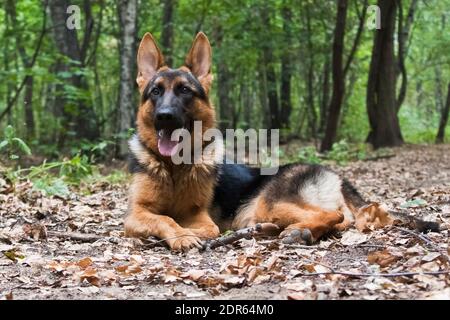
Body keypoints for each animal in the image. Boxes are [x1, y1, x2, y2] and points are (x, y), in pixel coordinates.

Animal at [124, 32, 440, 250]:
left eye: (184, 91)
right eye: (155, 92)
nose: (165, 116)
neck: (173, 168)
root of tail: (335, 176)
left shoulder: (201, 216)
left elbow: (201, 227)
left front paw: (185, 234)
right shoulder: (135, 214)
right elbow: (164, 218)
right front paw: (179, 233)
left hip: (270, 203)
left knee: (336, 216)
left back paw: (296, 231)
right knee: (343, 219)